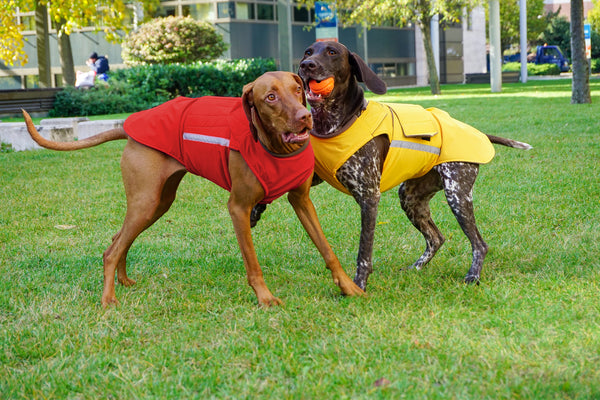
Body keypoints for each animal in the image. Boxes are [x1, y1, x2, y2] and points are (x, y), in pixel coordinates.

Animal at [22, 71, 360, 306]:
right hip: (146, 202)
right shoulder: (239, 209)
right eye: (270, 98)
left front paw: (348, 286)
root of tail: (129, 128)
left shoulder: (302, 201)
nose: (305, 118)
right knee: (111, 250)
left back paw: (124, 280)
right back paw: (108, 299)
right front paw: (264, 298)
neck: (275, 148)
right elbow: (253, 263)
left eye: (297, 90)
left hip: (157, 203)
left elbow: (327, 250)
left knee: (118, 240)